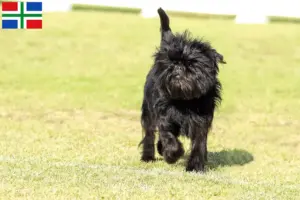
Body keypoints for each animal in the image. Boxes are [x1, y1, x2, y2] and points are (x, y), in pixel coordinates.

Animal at [139, 7, 226, 171]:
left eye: (191, 63)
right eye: (171, 62)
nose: (177, 67)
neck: (185, 100)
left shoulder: (201, 122)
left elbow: (199, 144)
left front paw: (195, 167)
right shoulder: (164, 117)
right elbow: (168, 137)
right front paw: (172, 155)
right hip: (148, 110)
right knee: (149, 133)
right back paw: (148, 156)